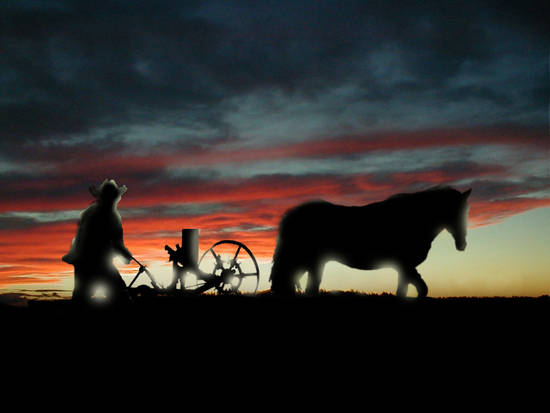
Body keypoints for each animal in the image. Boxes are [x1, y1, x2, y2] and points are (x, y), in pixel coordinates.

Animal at [270, 186, 472, 296]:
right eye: (457, 211)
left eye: (465, 211)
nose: (462, 245)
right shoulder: (406, 265)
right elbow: (419, 289)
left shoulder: (404, 267)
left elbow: (411, 290)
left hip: (312, 263)